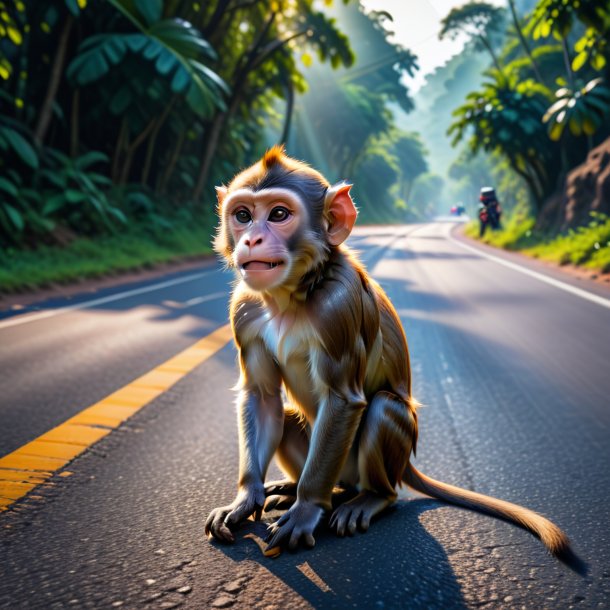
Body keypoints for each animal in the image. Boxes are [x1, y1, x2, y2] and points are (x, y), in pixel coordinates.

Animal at [204, 145, 568, 560]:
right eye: (243, 215)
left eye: (279, 214)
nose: (251, 240)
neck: (290, 295)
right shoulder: (244, 309)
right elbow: (262, 395)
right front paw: (245, 498)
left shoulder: (338, 307)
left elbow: (343, 399)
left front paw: (306, 510)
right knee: (290, 416)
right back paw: (297, 490)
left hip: (380, 456)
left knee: (382, 413)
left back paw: (364, 498)